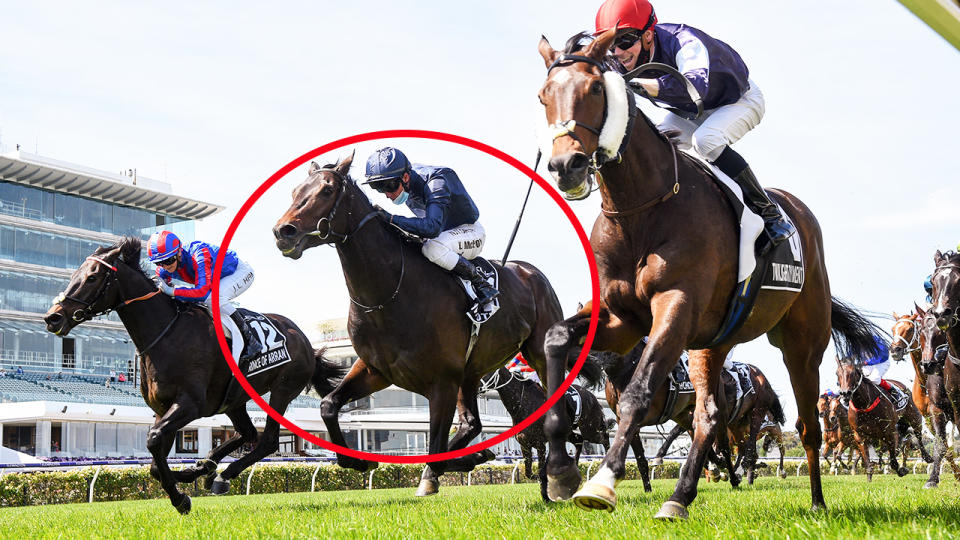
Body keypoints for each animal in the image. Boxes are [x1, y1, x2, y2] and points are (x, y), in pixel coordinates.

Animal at [45, 237, 346, 516]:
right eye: (74, 275)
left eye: (92, 277)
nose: (53, 318)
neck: (166, 334)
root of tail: (304, 340)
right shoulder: (162, 408)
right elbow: (155, 458)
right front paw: (186, 478)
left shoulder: (190, 404)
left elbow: (154, 438)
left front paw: (180, 497)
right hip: (235, 400)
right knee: (247, 432)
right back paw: (209, 467)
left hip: (283, 389)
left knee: (267, 440)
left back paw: (222, 475)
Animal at [270, 152, 568, 498]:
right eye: (295, 191)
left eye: (327, 190)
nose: (283, 231)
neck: (389, 294)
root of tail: (530, 271)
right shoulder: (375, 369)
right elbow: (329, 405)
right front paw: (359, 461)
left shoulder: (442, 380)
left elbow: (435, 440)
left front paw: (432, 475)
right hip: (472, 370)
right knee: (472, 424)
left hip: (536, 354)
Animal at [480, 368, 608, 502]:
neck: (524, 404)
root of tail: (592, 396)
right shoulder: (524, 445)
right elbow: (529, 473)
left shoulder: (539, 444)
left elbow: (541, 470)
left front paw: (546, 494)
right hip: (570, 433)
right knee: (579, 441)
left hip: (590, 430)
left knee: (604, 438)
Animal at [536, 30, 880, 520]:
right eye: (544, 96)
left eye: (596, 89)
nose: (567, 167)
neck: (642, 208)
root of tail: (800, 214)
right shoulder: (623, 320)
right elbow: (556, 338)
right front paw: (562, 471)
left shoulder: (675, 306)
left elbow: (639, 391)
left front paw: (601, 482)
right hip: (711, 342)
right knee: (710, 415)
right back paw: (679, 496)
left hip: (801, 341)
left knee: (808, 425)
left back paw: (816, 500)